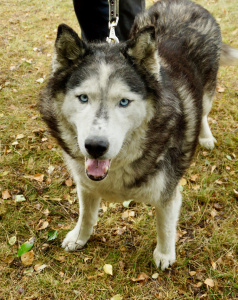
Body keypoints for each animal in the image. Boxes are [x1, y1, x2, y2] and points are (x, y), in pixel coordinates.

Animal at [40, 0, 237, 270]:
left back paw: (205, 137)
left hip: (207, 92)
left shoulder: (167, 193)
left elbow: (164, 226)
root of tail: (184, 3)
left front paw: (164, 255)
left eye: (124, 102)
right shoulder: (86, 184)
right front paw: (79, 237)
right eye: (83, 98)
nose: (95, 146)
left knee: (204, 111)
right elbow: (86, 215)